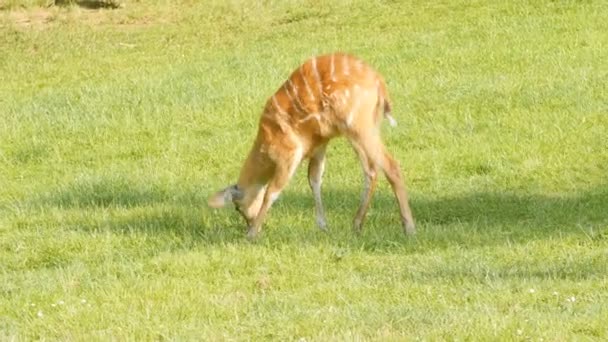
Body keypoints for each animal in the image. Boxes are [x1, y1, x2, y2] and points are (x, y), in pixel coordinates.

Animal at [207, 52, 416, 238]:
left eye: (237, 207)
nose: (248, 223)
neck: (265, 145)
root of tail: (380, 84)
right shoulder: (320, 144)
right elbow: (314, 179)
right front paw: (323, 226)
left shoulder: (290, 151)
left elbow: (272, 191)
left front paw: (251, 235)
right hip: (365, 127)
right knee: (371, 170)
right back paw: (356, 224)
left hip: (358, 125)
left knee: (390, 165)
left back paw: (409, 228)